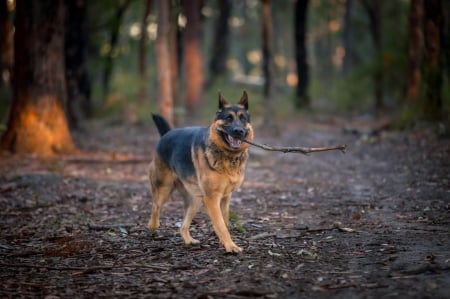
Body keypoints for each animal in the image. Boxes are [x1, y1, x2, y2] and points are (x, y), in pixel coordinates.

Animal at [148, 91, 253, 253]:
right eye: (228, 118)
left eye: (243, 119)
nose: (239, 131)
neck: (228, 156)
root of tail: (167, 134)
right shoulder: (212, 198)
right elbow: (221, 225)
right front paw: (230, 246)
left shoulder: (225, 197)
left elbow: (224, 222)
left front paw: (224, 242)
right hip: (164, 190)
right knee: (155, 205)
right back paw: (153, 226)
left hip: (195, 200)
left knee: (183, 226)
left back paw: (188, 240)